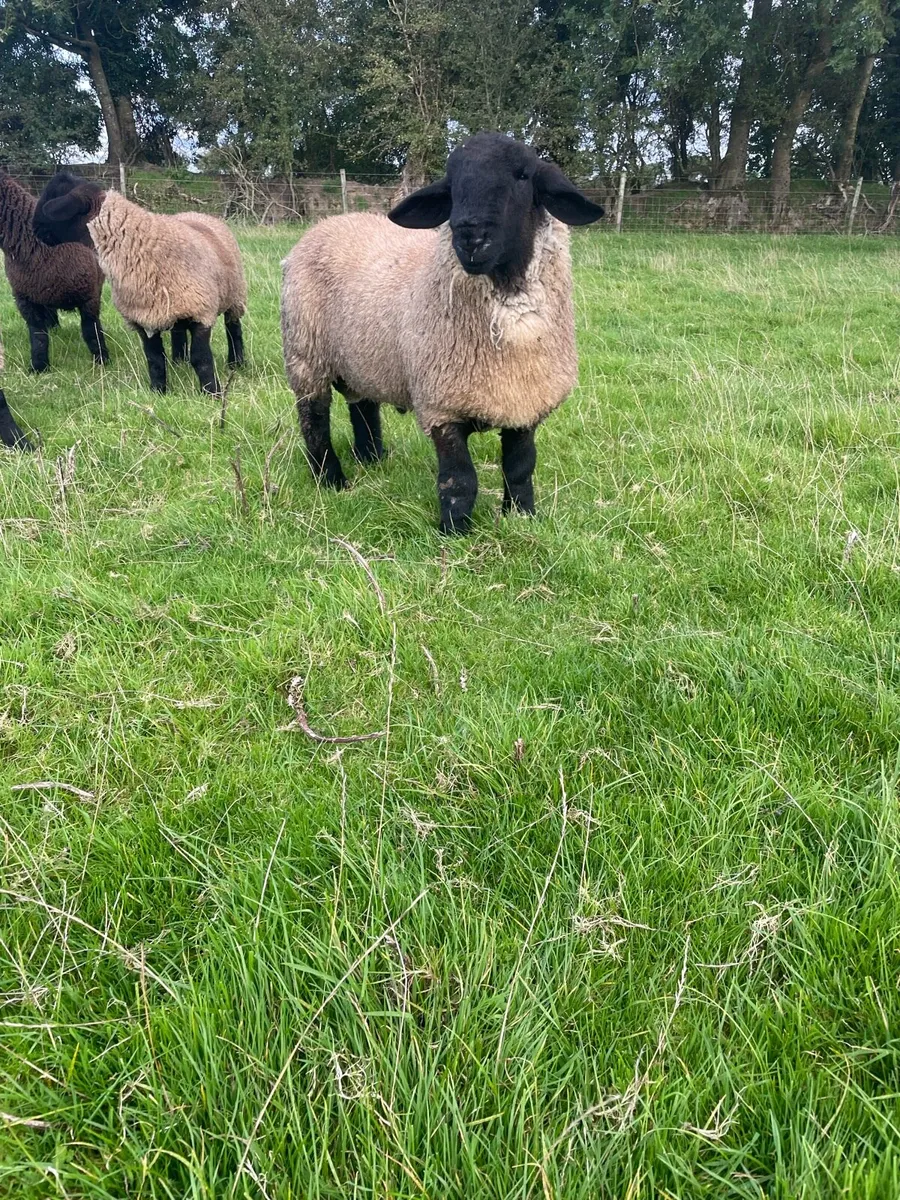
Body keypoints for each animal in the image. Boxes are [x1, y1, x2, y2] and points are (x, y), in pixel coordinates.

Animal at [0, 170, 108, 373]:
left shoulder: (90, 297)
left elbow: (91, 331)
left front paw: (102, 361)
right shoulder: (24, 299)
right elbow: (38, 336)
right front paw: (39, 367)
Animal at [33, 175, 247, 395]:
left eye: (54, 196)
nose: (34, 228)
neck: (141, 244)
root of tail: (198, 213)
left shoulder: (201, 312)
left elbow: (201, 358)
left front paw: (212, 393)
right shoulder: (144, 318)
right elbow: (155, 359)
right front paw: (159, 391)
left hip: (235, 294)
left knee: (233, 329)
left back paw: (236, 363)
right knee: (178, 332)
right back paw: (179, 362)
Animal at [281, 133, 604, 533]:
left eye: (523, 175)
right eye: (451, 185)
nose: (470, 235)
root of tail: (330, 222)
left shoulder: (525, 402)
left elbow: (520, 467)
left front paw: (522, 516)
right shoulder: (441, 405)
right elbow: (459, 478)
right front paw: (455, 532)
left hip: (360, 356)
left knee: (363, 404)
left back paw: (372, 457)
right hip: (305, 353)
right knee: (314, 419)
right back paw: (331, 479)